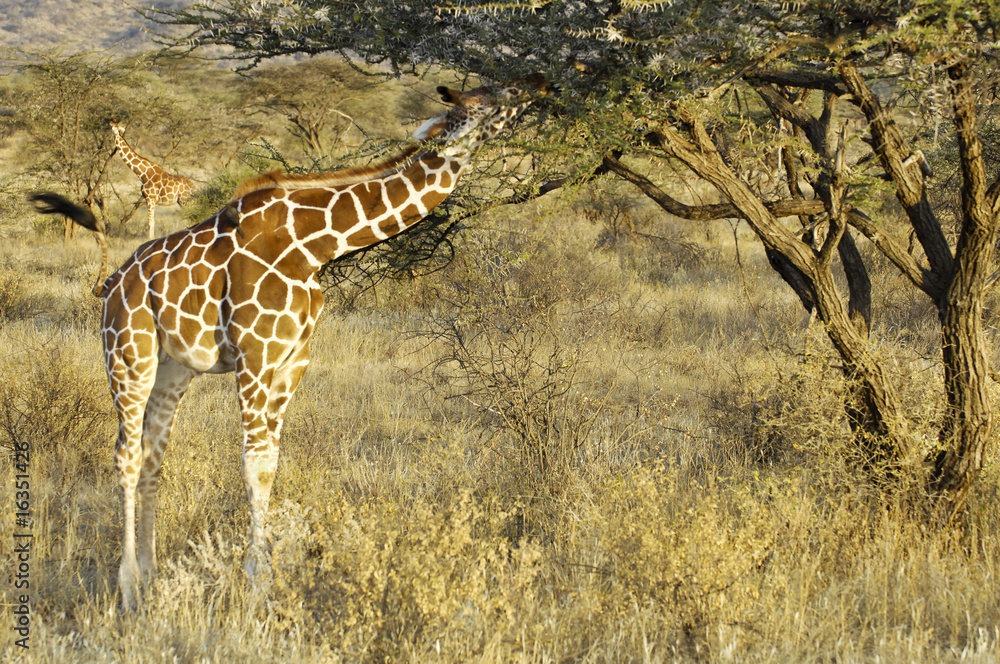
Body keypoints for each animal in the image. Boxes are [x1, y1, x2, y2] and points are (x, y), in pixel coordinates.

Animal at [42, 74, 548, 610]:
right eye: (496, 97)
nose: (541, 85)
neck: (314, 245)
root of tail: (111, 284)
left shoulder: (292, 359)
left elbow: (270, 465)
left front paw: (266, 578)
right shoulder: (254, 355)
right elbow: (254, 465)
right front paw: (256, 582)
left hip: (173, 369)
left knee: (154, 457)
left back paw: (152, 576)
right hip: (127, 356)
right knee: (127, 455)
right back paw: (128, 587)